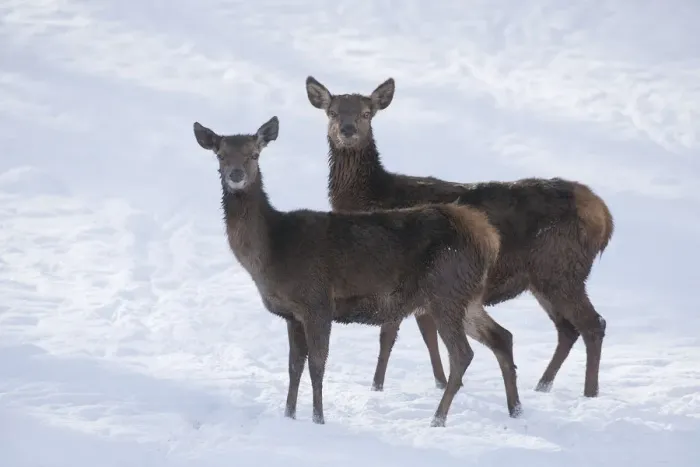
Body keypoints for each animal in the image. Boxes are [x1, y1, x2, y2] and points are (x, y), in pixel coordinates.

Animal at [191, 116, 522, 427]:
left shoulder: (317, 302)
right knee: (502, 336)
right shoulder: (292, 314)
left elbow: (317, 365)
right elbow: (294, 366)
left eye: (254, 153)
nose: (236, 175)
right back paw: (515, 410)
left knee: (463, 354)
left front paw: (318, 419)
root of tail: (486, 236)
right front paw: (289, 415)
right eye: (220, 155)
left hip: (446, 290)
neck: (274, 249)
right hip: (466, 296)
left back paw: (438, 418)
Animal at [305, 75, 614, 401]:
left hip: (561, 269)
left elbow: (389, 334)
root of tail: (604, 217)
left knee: (593, 324)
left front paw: (377, 387)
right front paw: (440, 382)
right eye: (332, 112)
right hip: (546, 277)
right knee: (568, 329)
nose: (347, 130)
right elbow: (425, 333)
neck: (372, 197)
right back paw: (542, 385)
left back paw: (589, 393)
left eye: (367, 113)